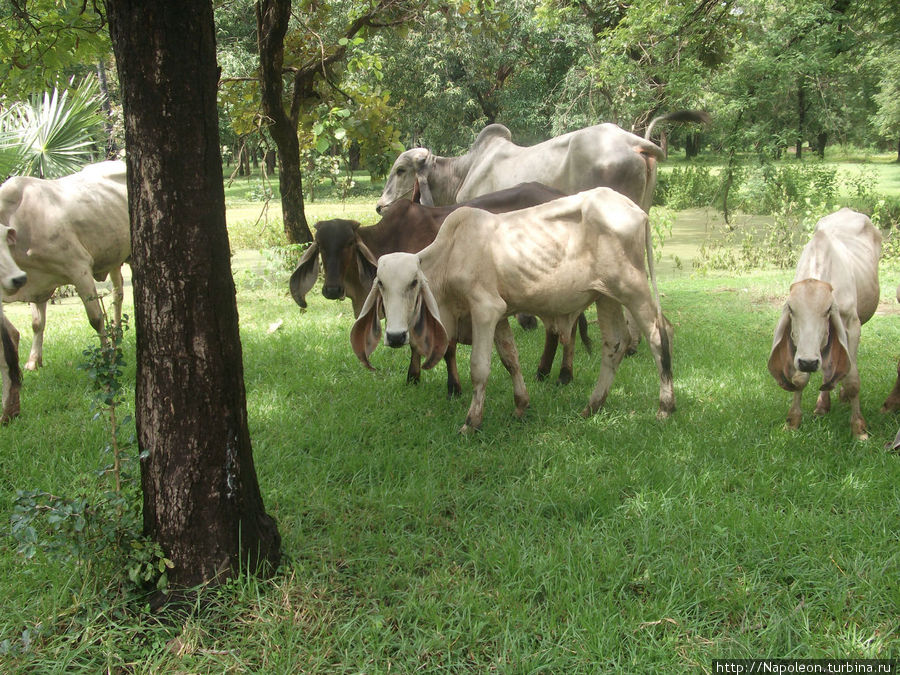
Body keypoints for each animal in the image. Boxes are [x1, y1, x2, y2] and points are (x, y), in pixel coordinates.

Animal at [0, 162, 130, 370]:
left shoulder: (79, 268)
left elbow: (96, 318)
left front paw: (105, 358)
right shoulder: (38, 283)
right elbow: (37, 323)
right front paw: (33, 361)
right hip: (115, 257)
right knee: (118, 294)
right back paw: (116, 337)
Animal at [768, 207, 884, 438]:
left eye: (828, 310)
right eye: (792, 310)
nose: (808, 363)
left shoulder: (852, 325)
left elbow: (852, 379)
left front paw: (859, 429)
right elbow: (800, 379)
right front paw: (793, 421)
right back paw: (822, 405)